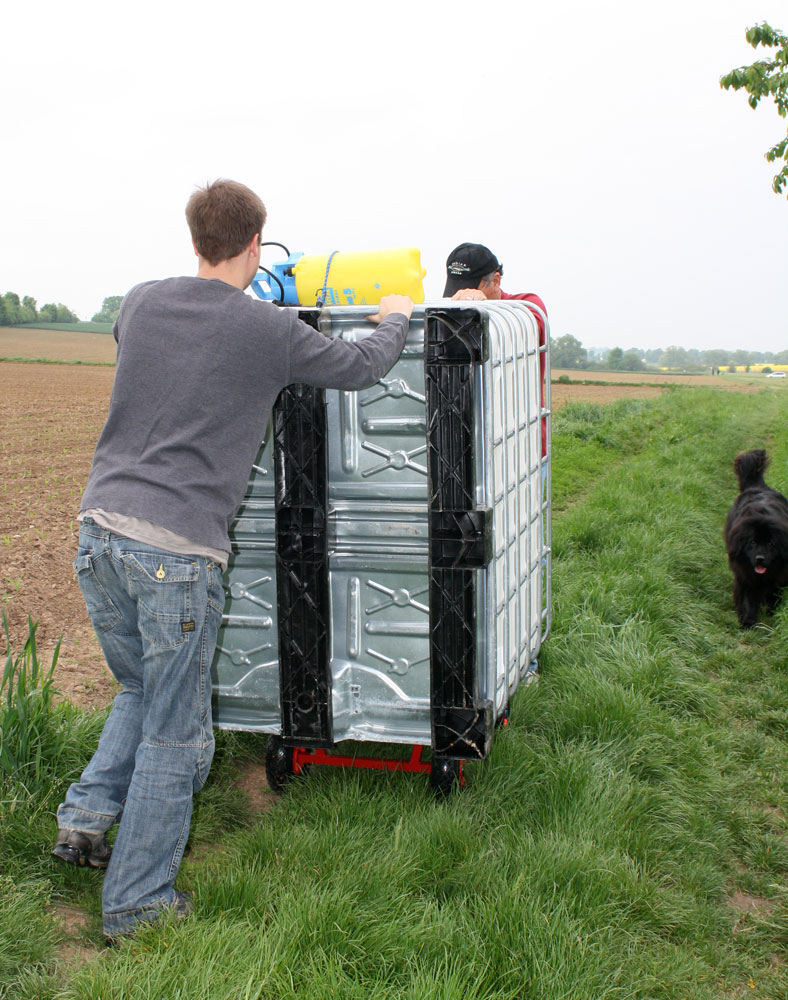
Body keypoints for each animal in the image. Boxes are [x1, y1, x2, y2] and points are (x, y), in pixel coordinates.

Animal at [724, 452, 788, 628]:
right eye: (752, 542)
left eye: (771, 544)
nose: (760, 558)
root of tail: (758, 486)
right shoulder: (745, 575)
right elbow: (747, 599)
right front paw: (747, 622)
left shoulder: (780, 575)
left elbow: (775, 595)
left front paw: (772, 615)